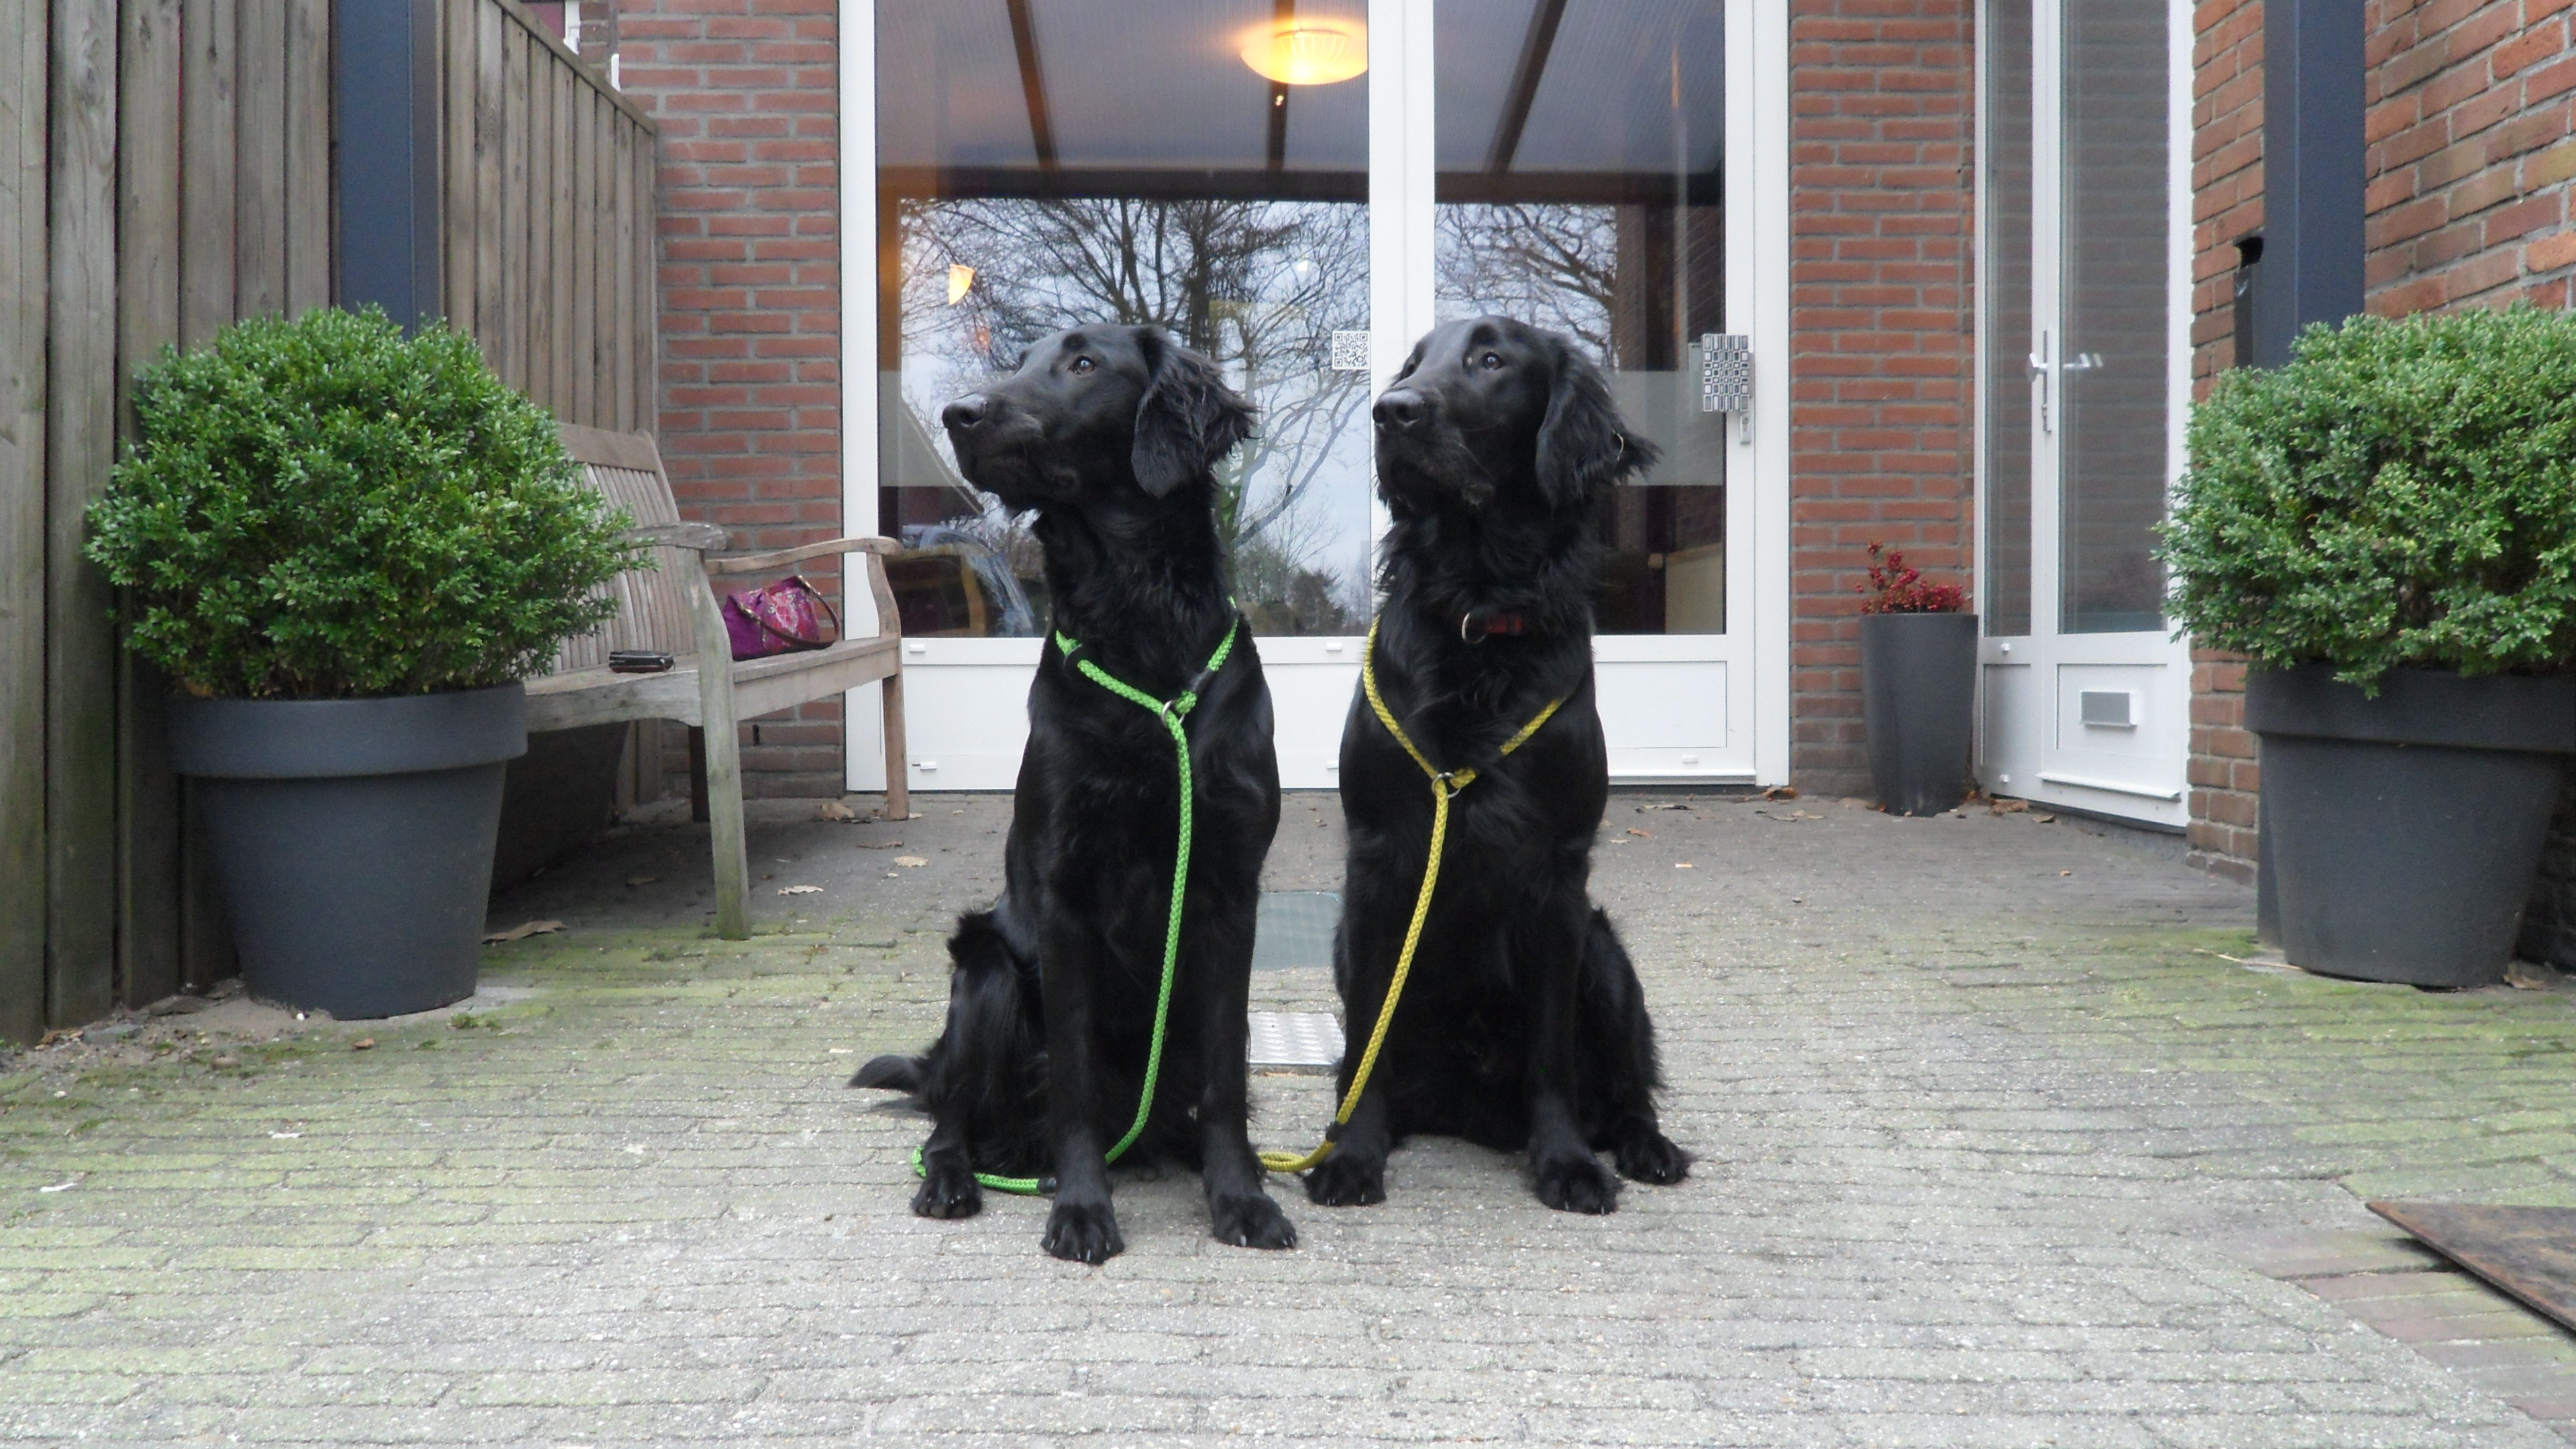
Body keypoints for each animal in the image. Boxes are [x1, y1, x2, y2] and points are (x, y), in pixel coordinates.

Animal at [853, 325, 1295, 1264]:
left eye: (1085, 364)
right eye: (1019, 362)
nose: (959, 412)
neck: (1141, 628)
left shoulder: (1230, 890)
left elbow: (1226, 1081)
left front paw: (1241, 1197)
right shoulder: (1063, 893)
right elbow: (1077, 1084)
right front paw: (1084, 1209)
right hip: (984, 976)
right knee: (950, 1121)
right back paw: (958, 1180)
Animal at [1306, 316, 1691, 1215]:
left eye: (1491, 360)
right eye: (1413, 364)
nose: (1391, 410)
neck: (1476, 611)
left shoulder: (1559, 873)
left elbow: (1552, 1054)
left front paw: (1566, 1161)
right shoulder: (1377, 857)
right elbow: (1365, 1040)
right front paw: (1354, 1151)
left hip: (1606, 954)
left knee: (1627, 1091)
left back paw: (1645, 1145)